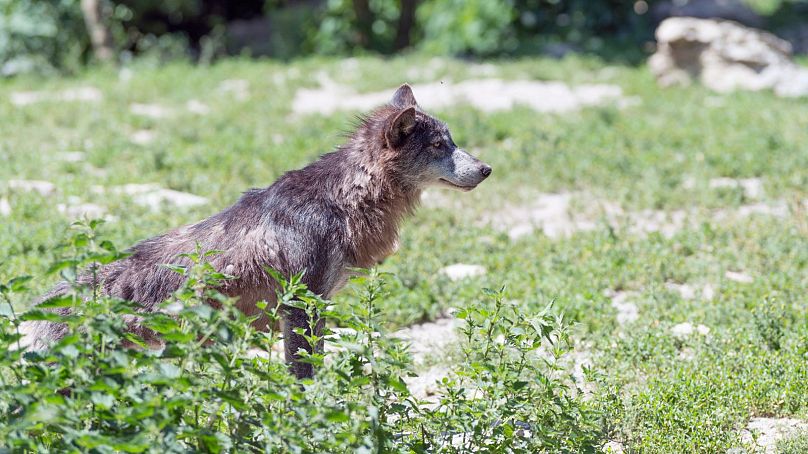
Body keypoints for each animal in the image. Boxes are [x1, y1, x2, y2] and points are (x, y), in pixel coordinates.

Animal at [22, 83, 492, 378]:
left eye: (452, 142)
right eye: (439, 146)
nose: (487, 169)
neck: (341, 200)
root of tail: (35, 310)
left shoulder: (315, 305)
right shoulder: (301, 306)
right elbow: (304, 375)